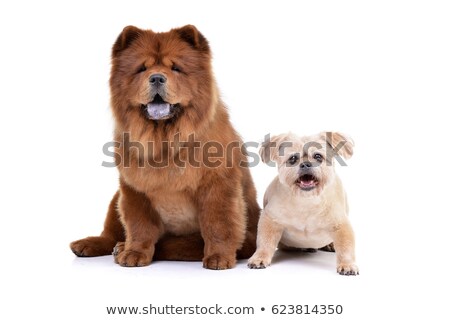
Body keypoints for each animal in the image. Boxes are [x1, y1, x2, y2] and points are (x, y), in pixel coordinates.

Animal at [70, 25, 260, 270]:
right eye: (142, 69)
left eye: (176, 68)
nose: (157, 77)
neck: (165, 140)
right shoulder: (134, 189)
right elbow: (139, 226)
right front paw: (134, 253)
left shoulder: (217, 186)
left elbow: (218, 223)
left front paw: (219, 258)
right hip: (116, 198)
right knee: (109, 234)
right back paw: (93, 245)